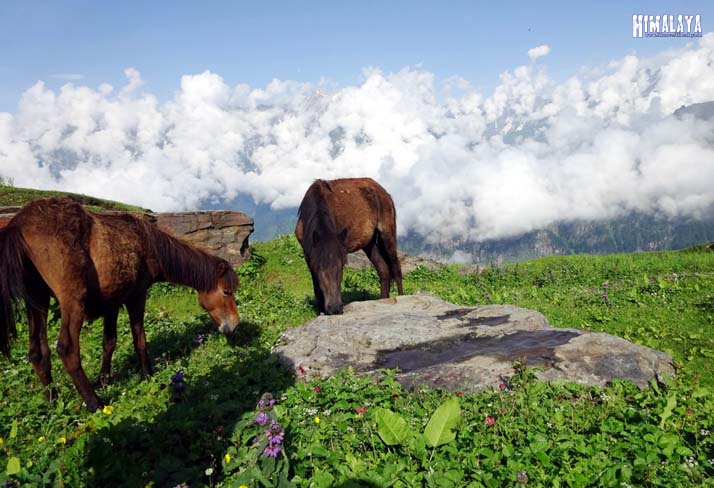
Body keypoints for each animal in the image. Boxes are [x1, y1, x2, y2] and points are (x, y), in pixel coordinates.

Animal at [0, 196, 239, 410]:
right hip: (72, 301)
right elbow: (139, 339)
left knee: (38, 352)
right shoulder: (137, 297)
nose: (234, 325)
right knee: (67, 349)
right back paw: (94, 403)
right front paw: (147, 374)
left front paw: (104, 379)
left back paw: (52, 400)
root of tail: (19, 223)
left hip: (37, 301)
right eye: (227, 292)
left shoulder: (112, 304)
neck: (147, 243)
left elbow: (109, 342)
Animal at [290, 177, 400, 314]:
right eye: (320, 268)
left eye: (341, 267)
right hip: (369, 244)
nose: (335, 308)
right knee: (384, 270)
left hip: (387, 235)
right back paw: (383, 300)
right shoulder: (308, 254)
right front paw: (320, 310)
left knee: (396, 268)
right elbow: (316, 285)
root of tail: (383, 191)